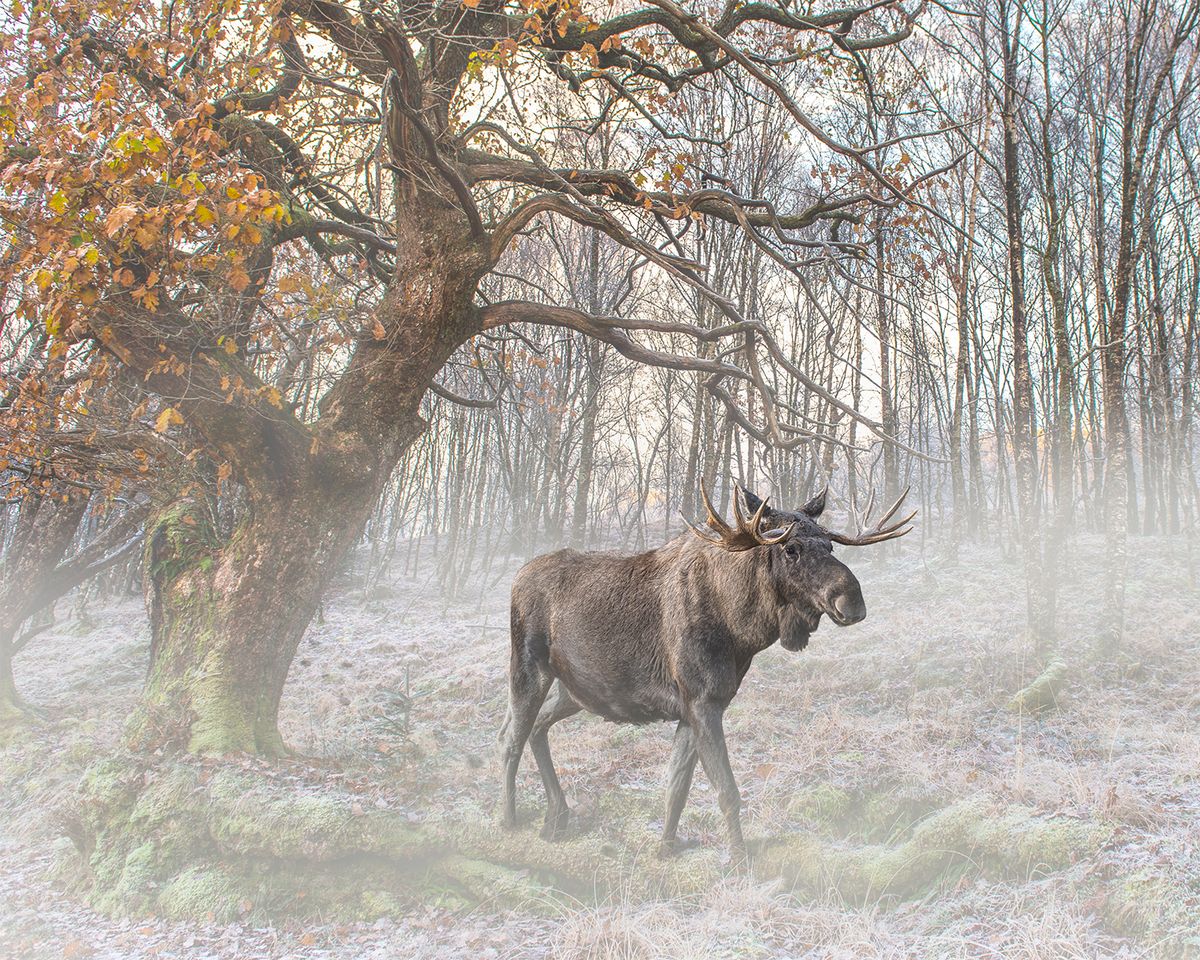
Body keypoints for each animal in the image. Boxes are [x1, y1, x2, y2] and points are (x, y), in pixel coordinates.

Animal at [499, 481, 913, 864]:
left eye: (830, 546)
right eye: (790, 548)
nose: (853, 601)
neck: (741, 628)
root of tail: (517, 575)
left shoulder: (695, 707)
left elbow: (677, 787)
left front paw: (666, 848)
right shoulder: (702, 701)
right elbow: (727, 791)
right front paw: (739, 860)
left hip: (574, 691)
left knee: (536, 728)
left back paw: (556, 817)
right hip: (528, 667)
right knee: (509, 738)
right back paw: (508, 819)